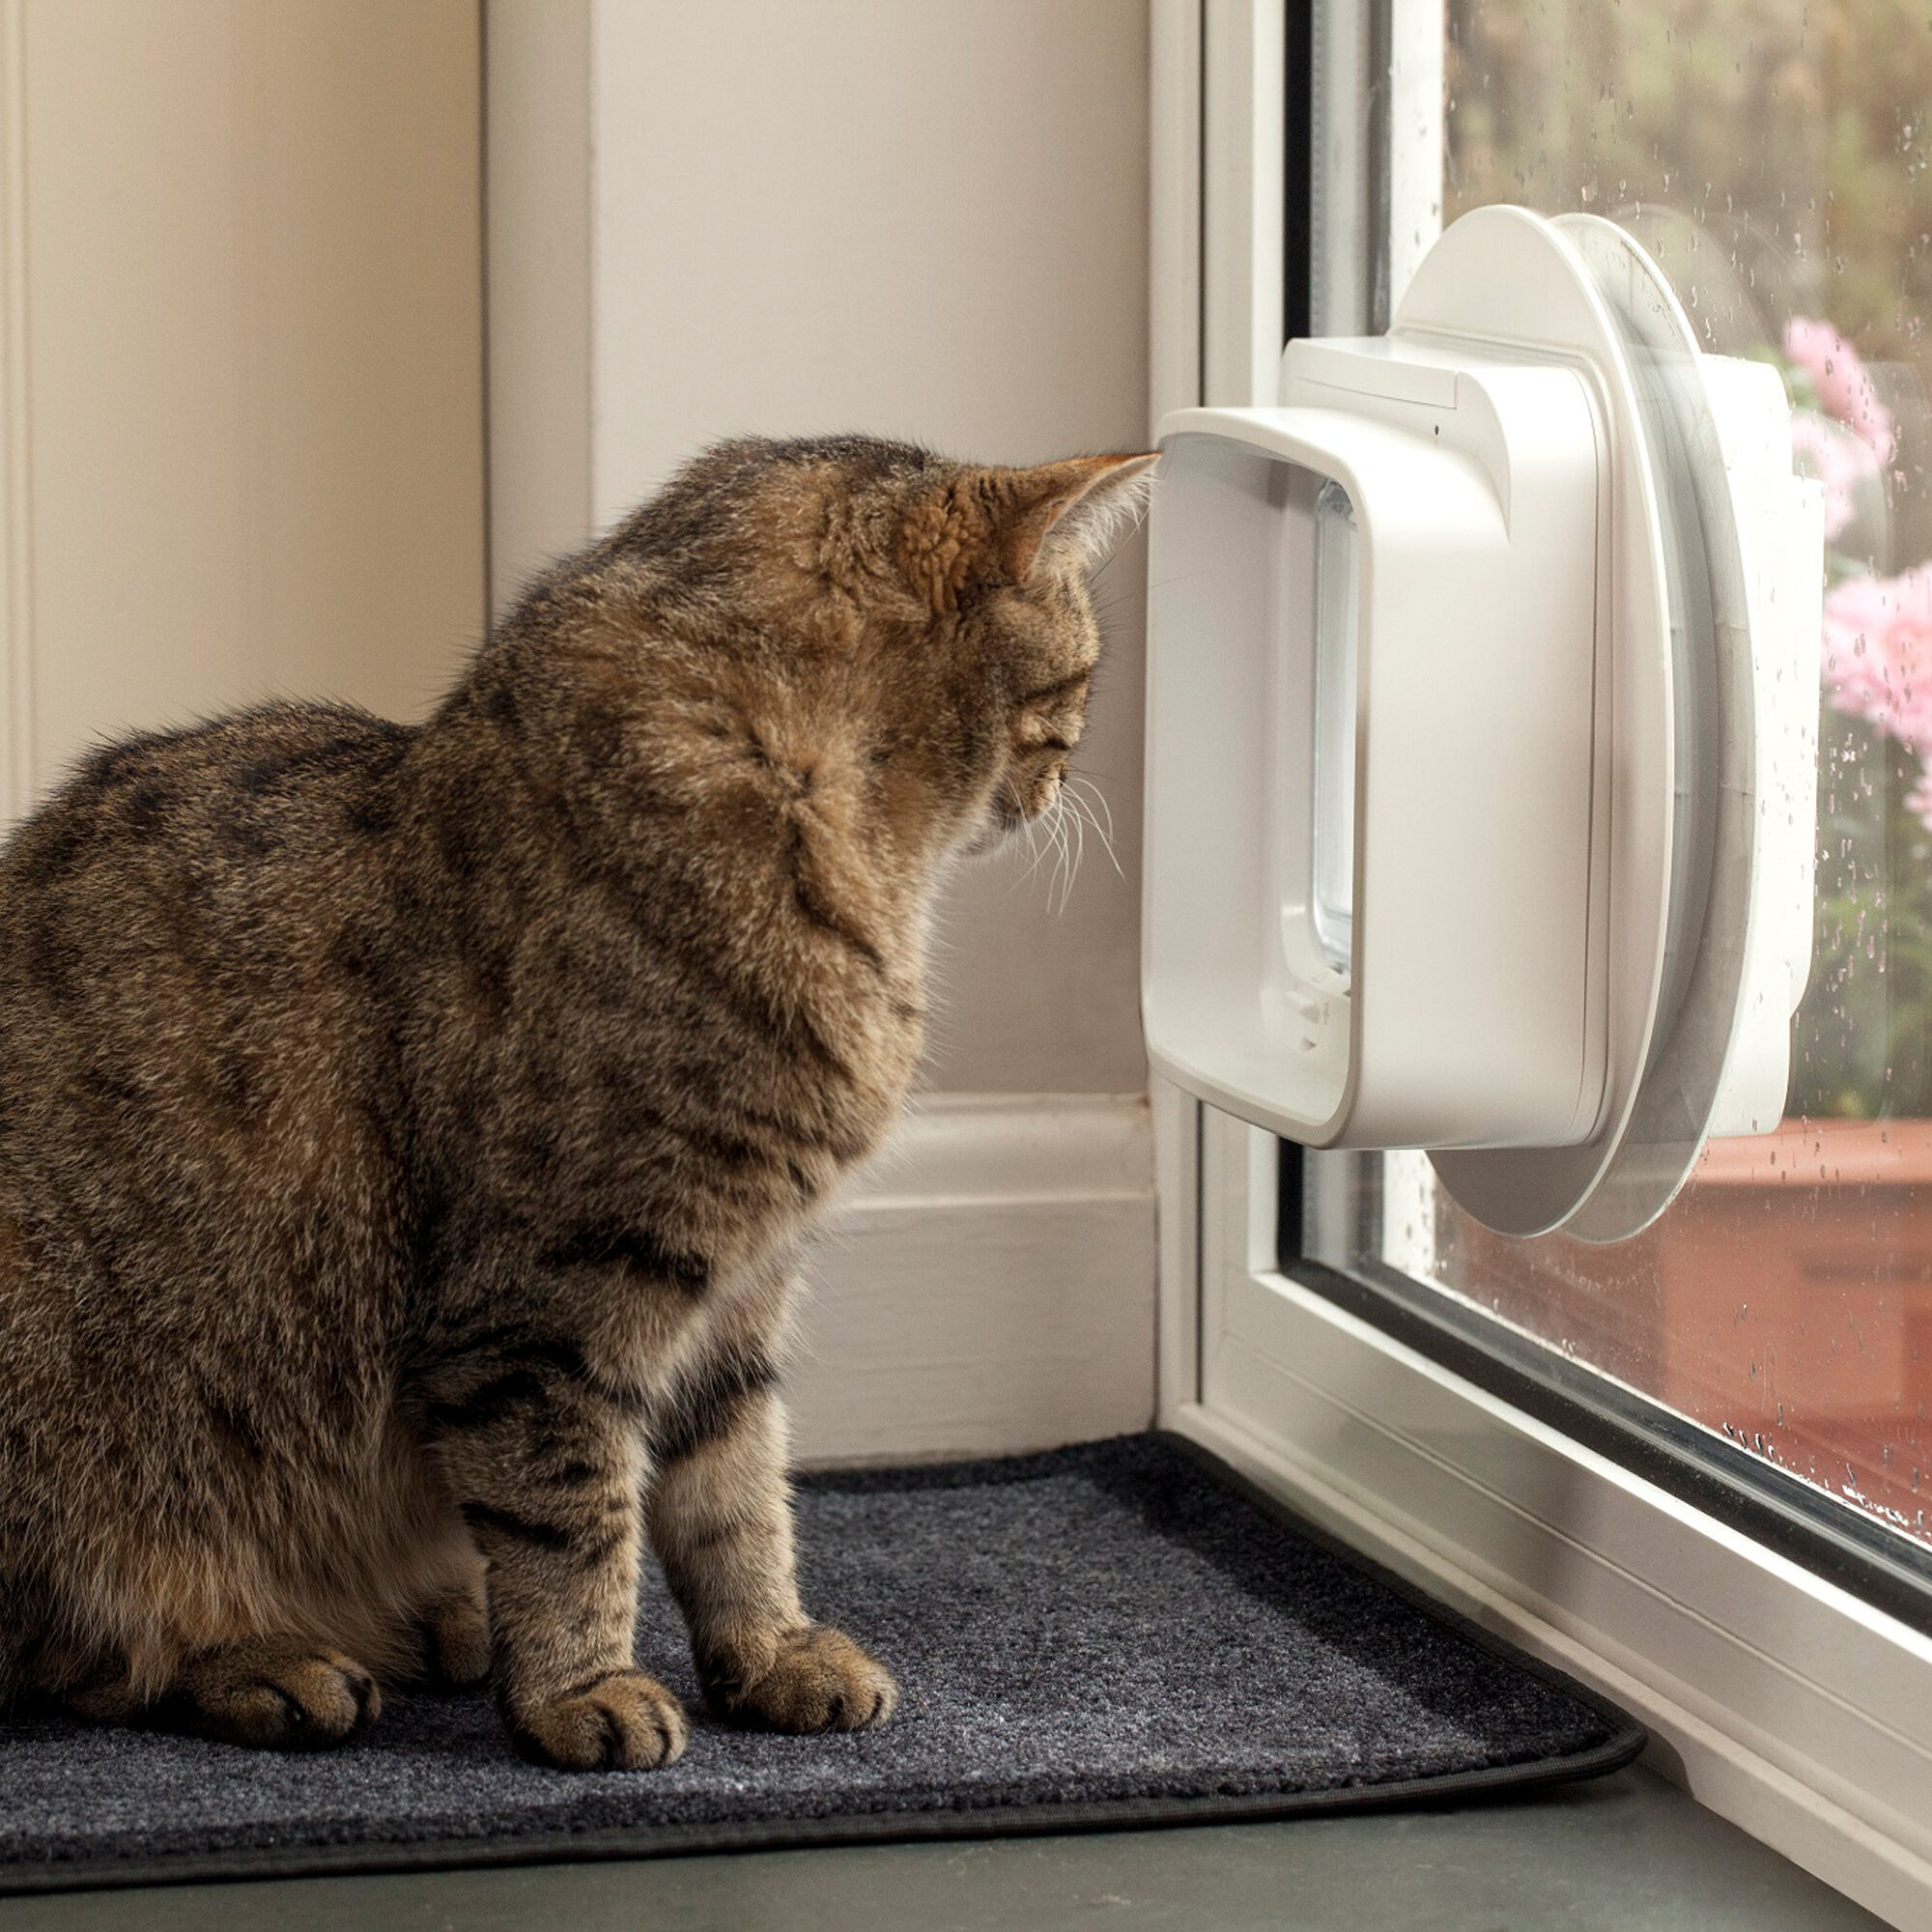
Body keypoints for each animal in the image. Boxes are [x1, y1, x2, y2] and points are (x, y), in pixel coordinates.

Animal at [0, 435, 1144, 1770]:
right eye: (1079, 671)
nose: (1064, 774)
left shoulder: (739, 1290)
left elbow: (737, 1496)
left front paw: (768, 1652)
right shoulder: (542, 1306)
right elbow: (574, 1516)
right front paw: (578, 1689)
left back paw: (430, 1616)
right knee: (92, 1651)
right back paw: (273, 1657)